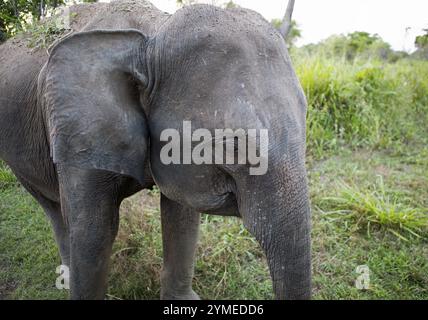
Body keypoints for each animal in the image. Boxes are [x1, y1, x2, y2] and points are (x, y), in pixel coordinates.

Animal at [0, 0, 310, 300]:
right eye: (232, 144)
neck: (152, 33)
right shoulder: (79, 131)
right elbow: (93, 233)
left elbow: (181, 215)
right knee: (52, 207)